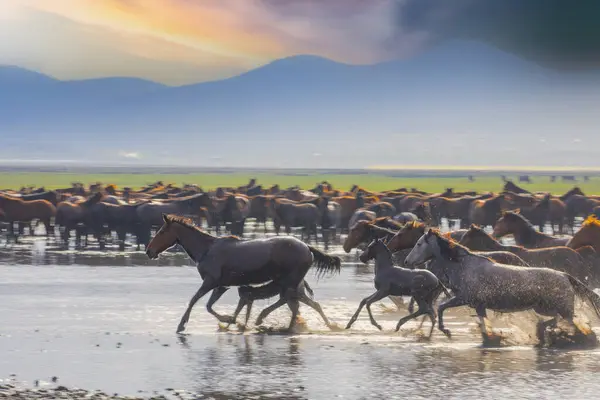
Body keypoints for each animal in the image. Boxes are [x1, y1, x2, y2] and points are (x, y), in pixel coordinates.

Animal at [146, 214, 342, 332]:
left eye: (162, 232)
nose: (149, 251)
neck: (206, 250)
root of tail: (307, 247)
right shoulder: (221, 286)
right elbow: (209, 305)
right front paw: (231, 320)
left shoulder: (210, 281)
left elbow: (195, 300)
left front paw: (182, 325)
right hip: (289, 283)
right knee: (301, 303)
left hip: (289, 282)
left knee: (292, 302)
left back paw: (270, 322)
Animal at [404, 230, 600, 346]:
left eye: (419, 244)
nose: (406, 261)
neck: (463, 266)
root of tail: (565, 276)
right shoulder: (478, 305)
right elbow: (483, 323)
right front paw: (490, 338)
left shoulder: (464, 298)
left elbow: (441, 307)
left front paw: (446, 331)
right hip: (543, 308)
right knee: (558, 320)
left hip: (562, 309)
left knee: (571, 324)